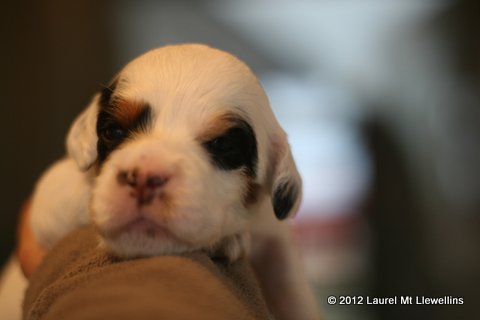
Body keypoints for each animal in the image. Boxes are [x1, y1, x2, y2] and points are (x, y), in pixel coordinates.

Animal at [27, 44, 318, 320]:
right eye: (113, 131)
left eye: (223, 145)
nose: (144, 178)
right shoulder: (51, 206)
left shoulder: (274, 237)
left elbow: (293, 291)